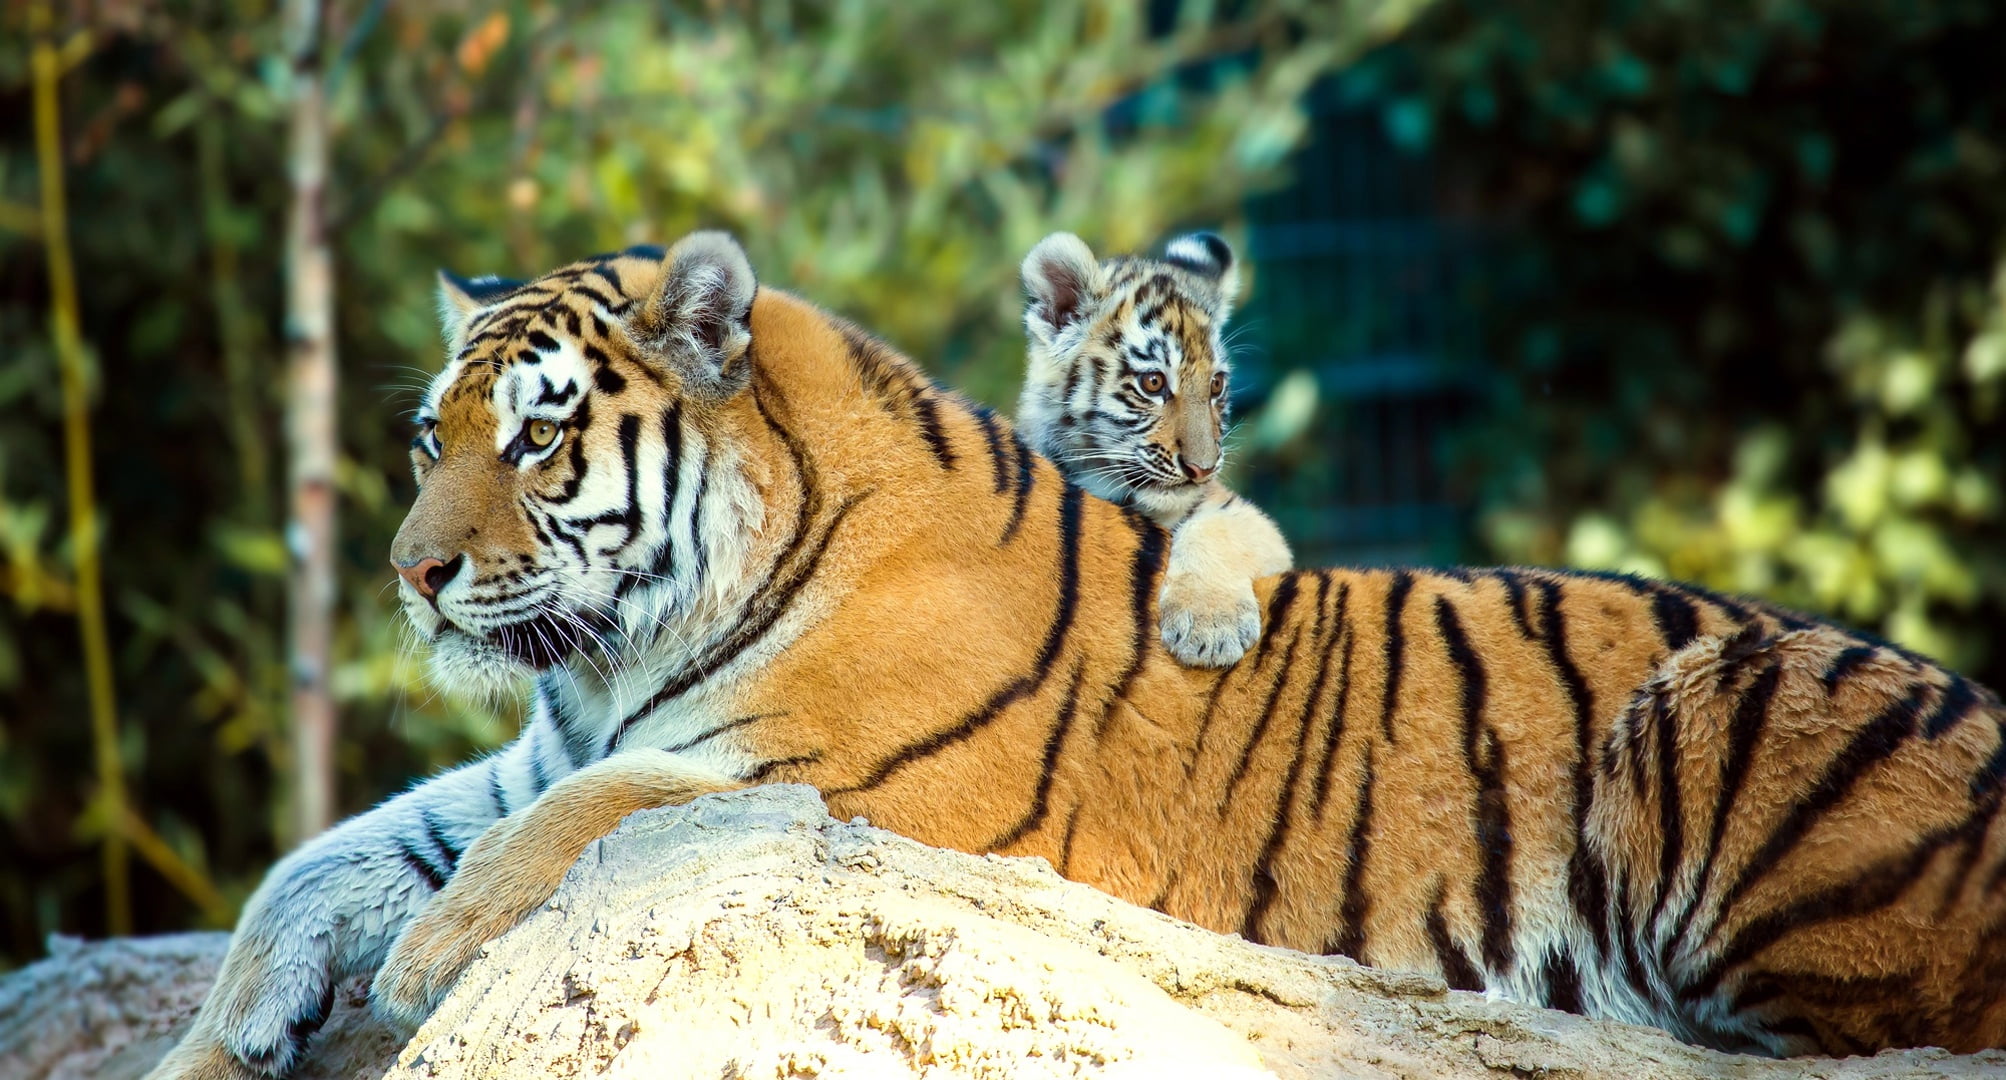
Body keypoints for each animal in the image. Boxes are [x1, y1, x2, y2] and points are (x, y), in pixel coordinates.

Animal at [1016, 230, 1291, 668]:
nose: (1203, 468)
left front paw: (1211, 628)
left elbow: (1213, 528)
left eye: (1216, 385)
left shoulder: (1253, 521)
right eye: (1153, 383)